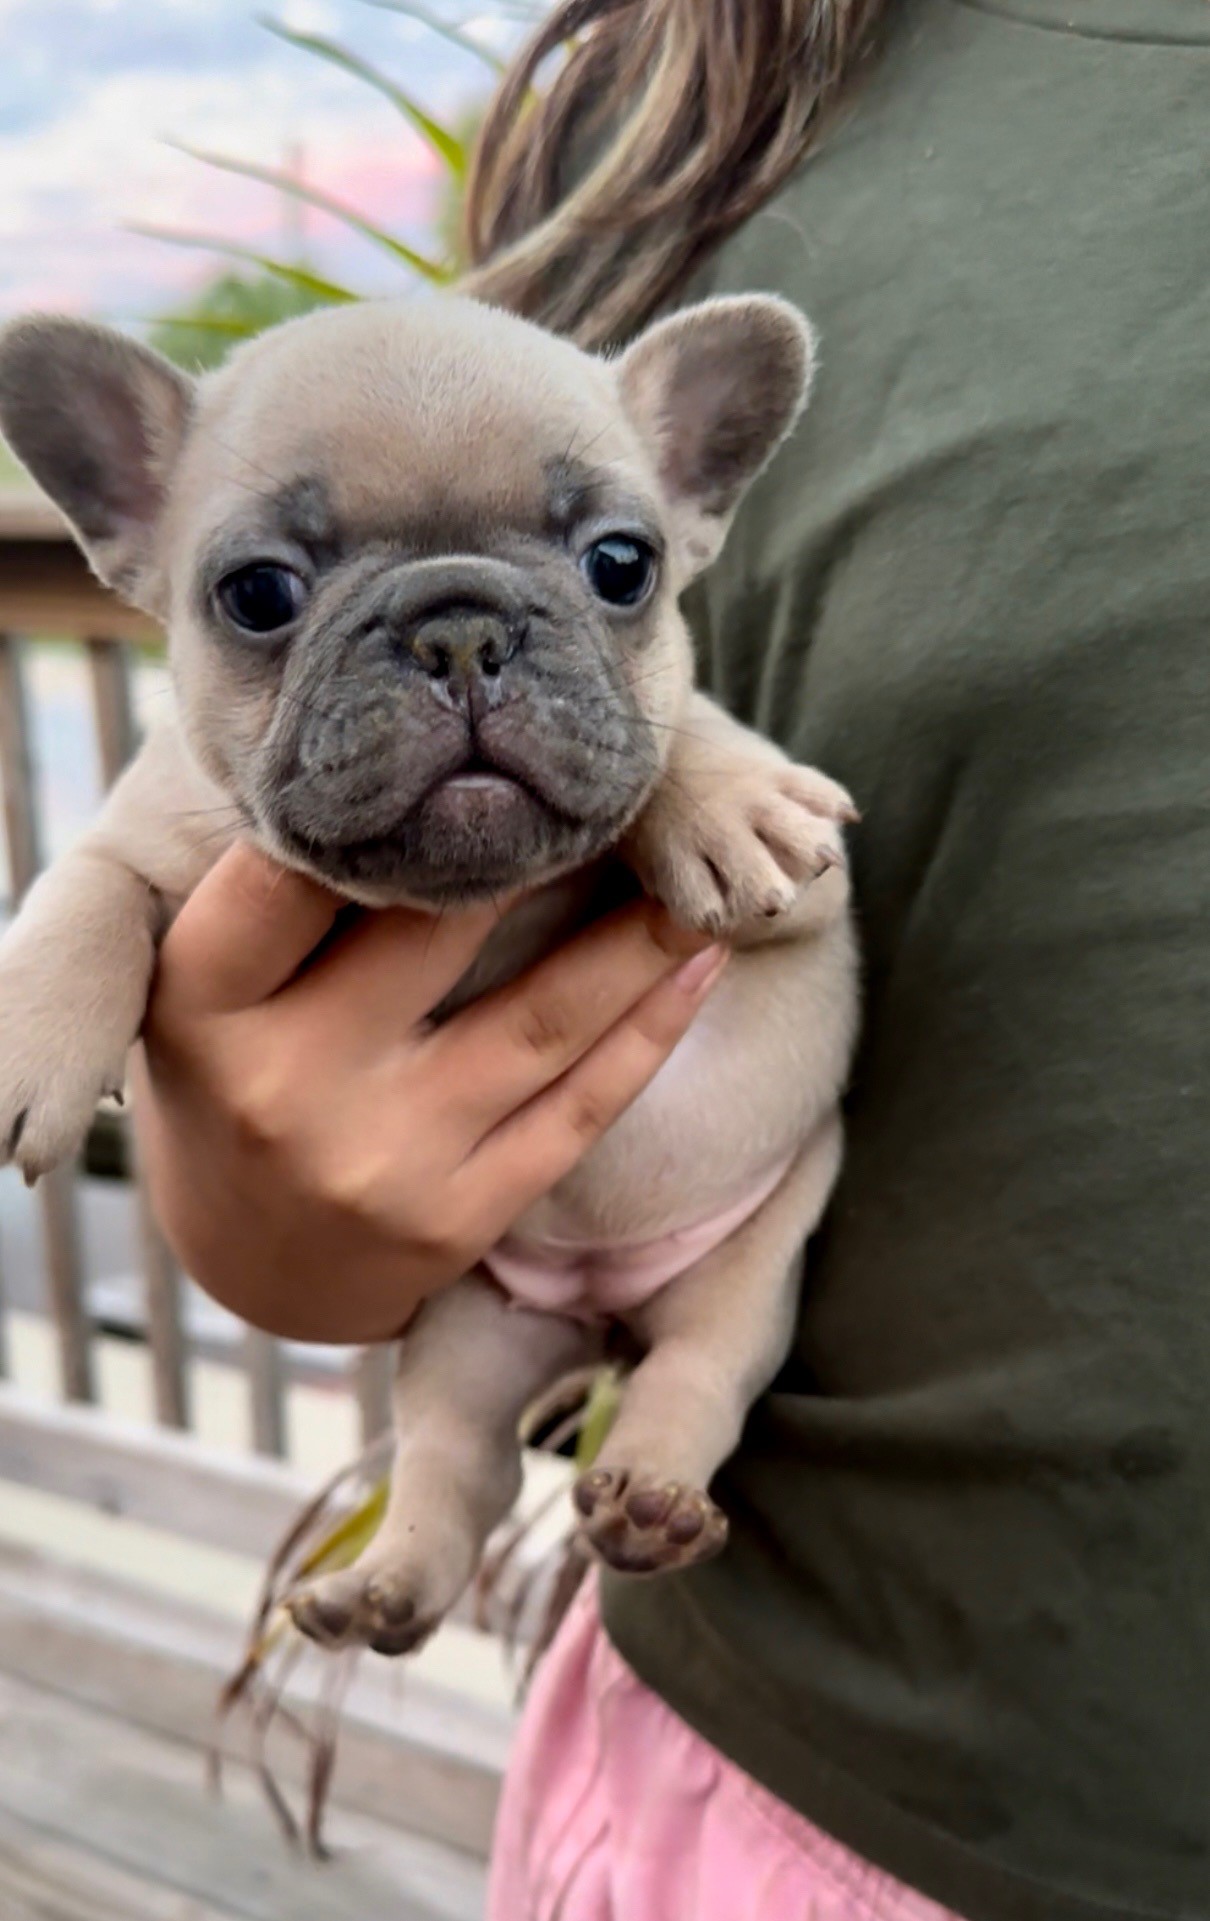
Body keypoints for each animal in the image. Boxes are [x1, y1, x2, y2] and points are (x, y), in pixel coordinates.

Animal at [0, 291, 858, 1653]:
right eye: (257, 593)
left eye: (623, 565)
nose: (460, 624)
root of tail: (592, 1307)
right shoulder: (143, 833)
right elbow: (82, 891)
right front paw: (31, 1035)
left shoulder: (808, 886)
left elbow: (675, 741)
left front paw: (719, 802)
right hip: (471, 1329)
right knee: (460, 1462)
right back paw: (380, 1589)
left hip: (751, 1265)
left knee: (697, 1374)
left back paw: (651, 1501)